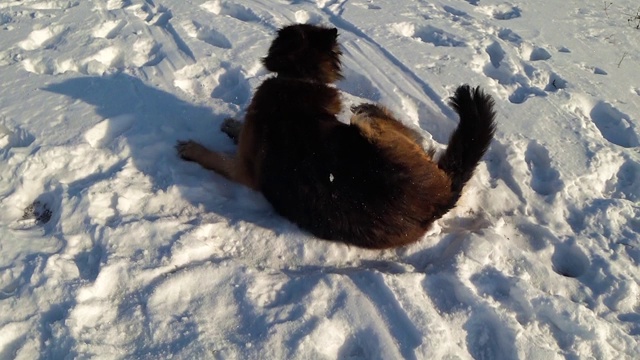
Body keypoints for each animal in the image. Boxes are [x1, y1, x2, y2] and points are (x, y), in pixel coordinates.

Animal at [178, 23, 498, 249]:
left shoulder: (244, 171)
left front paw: (192, 148)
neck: (301, 77)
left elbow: (215, 157)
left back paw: (368, 107)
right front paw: (231, 124)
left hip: (368, 131)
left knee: (387, 124)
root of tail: (444, 195)